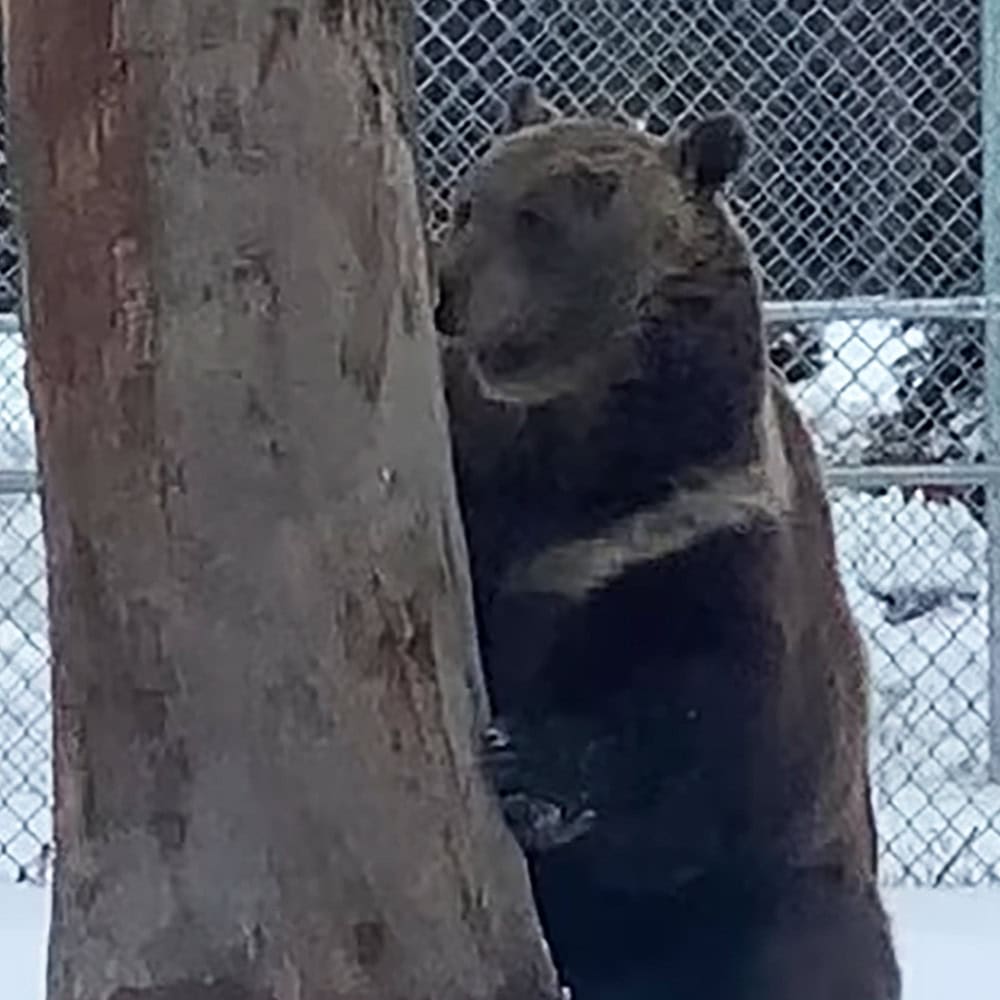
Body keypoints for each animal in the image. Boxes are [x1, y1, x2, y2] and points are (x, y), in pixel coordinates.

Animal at [435, 79, 901, 1000]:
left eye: (549, 213)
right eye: (471, 201)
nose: (450, 293)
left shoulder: (693, 533)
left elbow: (702, 711)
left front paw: (532, 762)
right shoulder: (495, 514)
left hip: (791, 898)